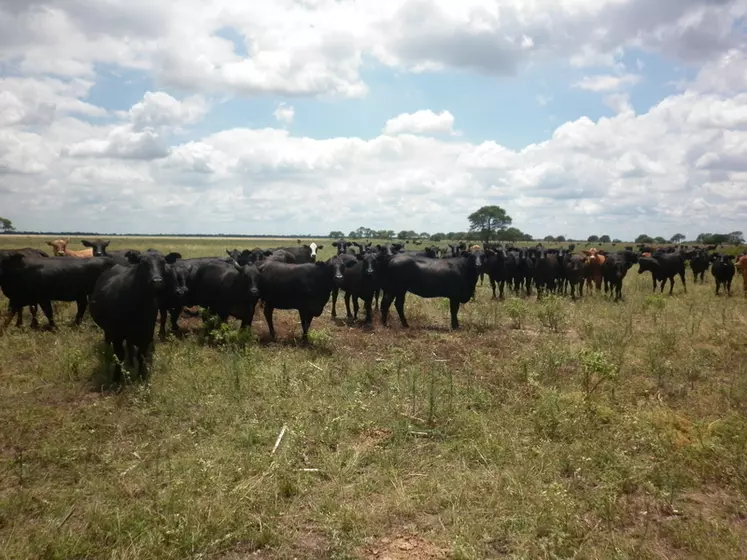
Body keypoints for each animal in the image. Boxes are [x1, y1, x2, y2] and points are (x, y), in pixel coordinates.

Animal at [89, 252, 178, 382]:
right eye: (143, 262)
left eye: (163, 262)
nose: (157, 281)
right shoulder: (117, 333)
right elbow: (119, 355)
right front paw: (116, 378)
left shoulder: (147, 333)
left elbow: (141, 355)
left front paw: (141, 376)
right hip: (109, 331)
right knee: (108, 342)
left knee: (130, 346)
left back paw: (131, 362)